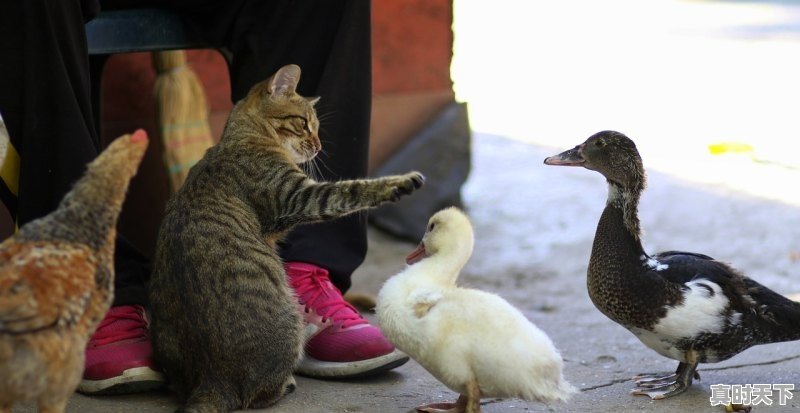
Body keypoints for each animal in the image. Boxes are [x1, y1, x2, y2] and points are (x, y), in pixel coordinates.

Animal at [149, 65, 424, 412]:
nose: (318, 146)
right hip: (289, 318)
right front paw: (400, 182)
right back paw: (289, 378)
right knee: (258, 395)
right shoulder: (299, 196)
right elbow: (350, 190)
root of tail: (211, 381)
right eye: (304, 123)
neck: (244, 135)